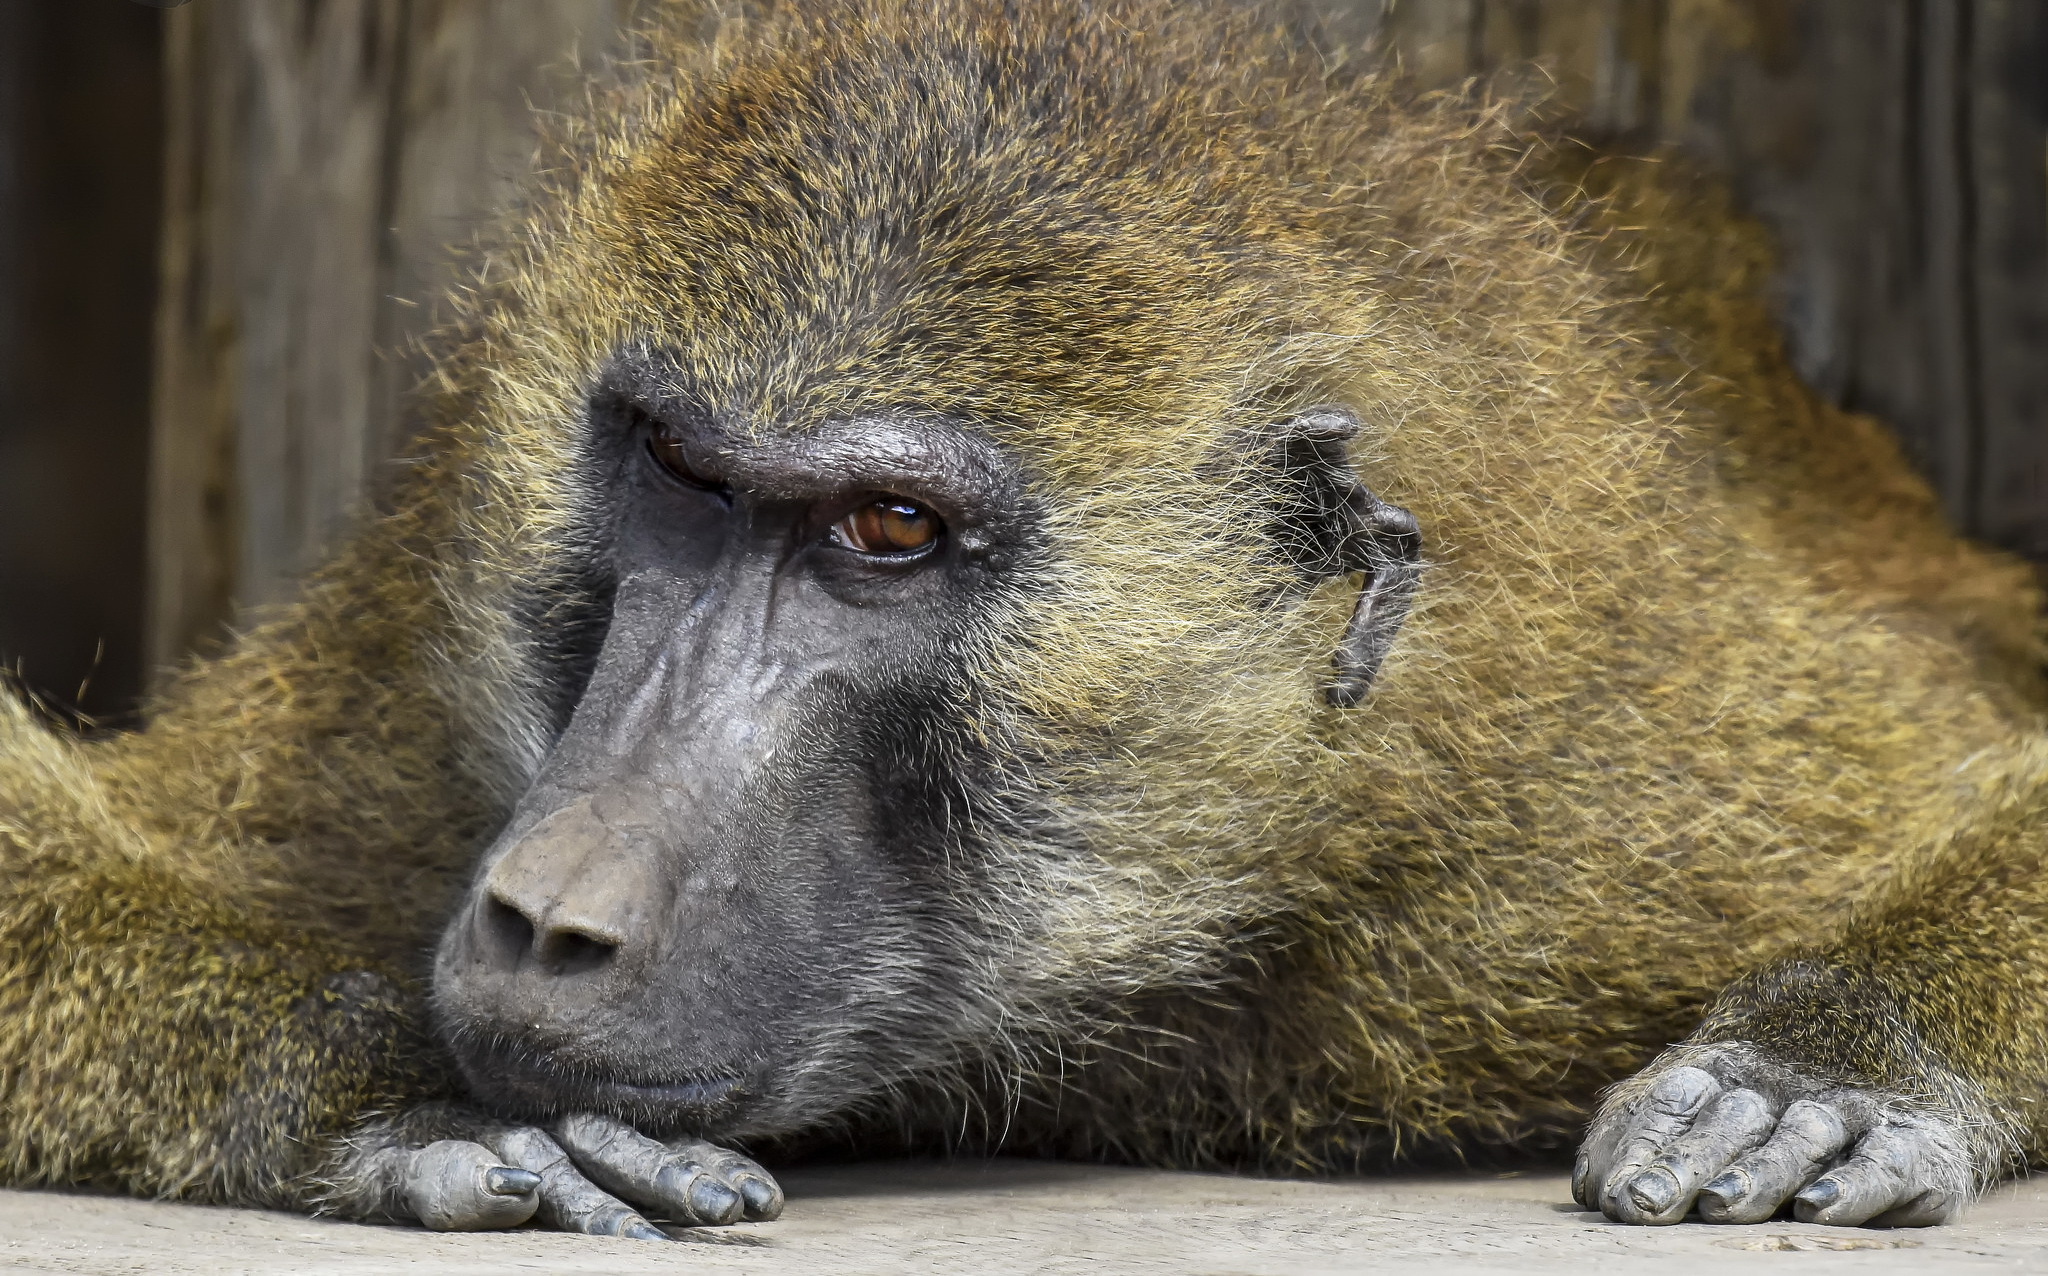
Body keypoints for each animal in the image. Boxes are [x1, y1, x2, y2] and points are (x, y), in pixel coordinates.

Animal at [4, 0, 2048, 1240]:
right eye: (677, 469)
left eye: (887, 532)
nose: (543, 918)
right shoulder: (407, 721)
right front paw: (391, 1084)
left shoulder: (1588, 823)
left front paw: (1832, 1062)